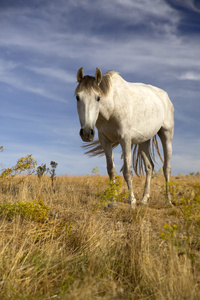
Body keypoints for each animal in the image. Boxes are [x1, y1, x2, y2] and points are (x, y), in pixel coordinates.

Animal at [74, 68, 174, 209]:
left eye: (98, 98)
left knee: (166, 168)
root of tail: (165, 96)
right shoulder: (105, 140)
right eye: (78, 97)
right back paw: (144, 199)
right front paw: (113, 199)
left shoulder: (125, 139)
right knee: (149, 167)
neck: (112, 106)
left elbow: (127, 171)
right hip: (144, 141)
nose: (87, 133)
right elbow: (111, 170)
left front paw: (131, 202)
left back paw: (168, 200)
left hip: (166, 135)